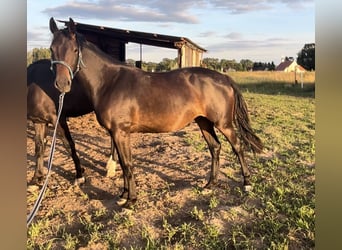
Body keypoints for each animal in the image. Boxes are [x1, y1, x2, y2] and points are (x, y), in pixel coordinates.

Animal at [48, 17, 262, 205]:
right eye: (52, 49)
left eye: (75, 50)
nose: (62, 84)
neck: (110, 82)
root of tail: (224, 78)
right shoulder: (116, 133)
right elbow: (124, 165)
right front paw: (123, 196)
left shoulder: (121, 132)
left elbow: (128, 164)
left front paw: (131, 201)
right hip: (204, 122)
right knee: (215, 148)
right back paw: (210, 185)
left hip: (223, 124)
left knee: (238, 147)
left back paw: (247, 184)